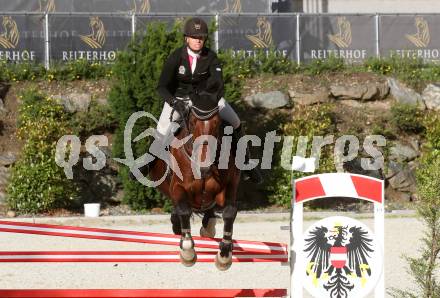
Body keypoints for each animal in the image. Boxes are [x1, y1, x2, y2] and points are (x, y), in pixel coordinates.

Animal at [149, 97, 241, 270]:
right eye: (192, 123)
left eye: (218, 123)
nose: (204, 168)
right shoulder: (178, 187)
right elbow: (184, 211)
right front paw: (187, 251)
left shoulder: (229, 186)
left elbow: (229, 213)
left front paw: (224, 255)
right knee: (179, 211)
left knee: (208, 212)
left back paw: (208, 227)